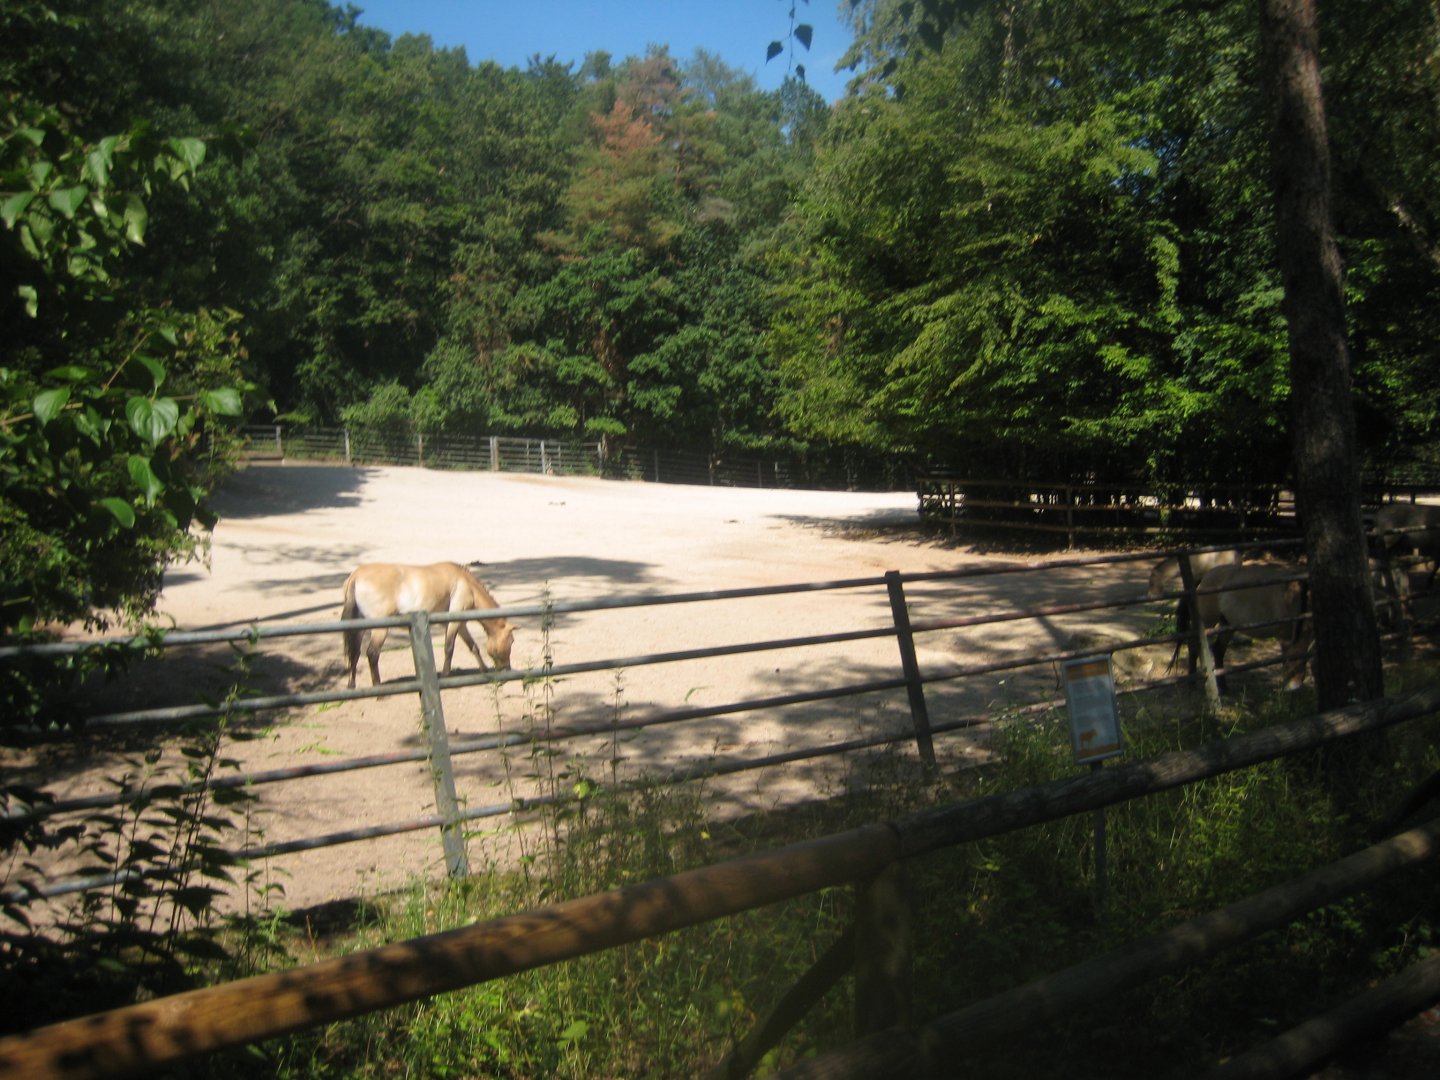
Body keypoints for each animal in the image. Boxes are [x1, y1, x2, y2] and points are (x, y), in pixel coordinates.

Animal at [341, 562, 514, 688]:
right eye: (512, 641)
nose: (507, 669)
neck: (467, 585)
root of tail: (355, 576)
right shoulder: (453, 622)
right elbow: (449, 648)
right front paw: (445, 675)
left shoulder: (460, 625)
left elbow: (473, 647)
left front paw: (484, 670)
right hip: (380, 630)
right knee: (372, 653)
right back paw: (378, 687)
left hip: (359, 628)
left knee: (355, 654)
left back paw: (351, 685)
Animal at [1193, 562, 1311, 691]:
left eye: (1305, 659)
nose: (1294, 686)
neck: (1291, 597)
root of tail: (1205, 576)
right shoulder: (1284, 635)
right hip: (1208, 622)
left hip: (1227, 623)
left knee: (1218, 649)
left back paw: (1223, 688)